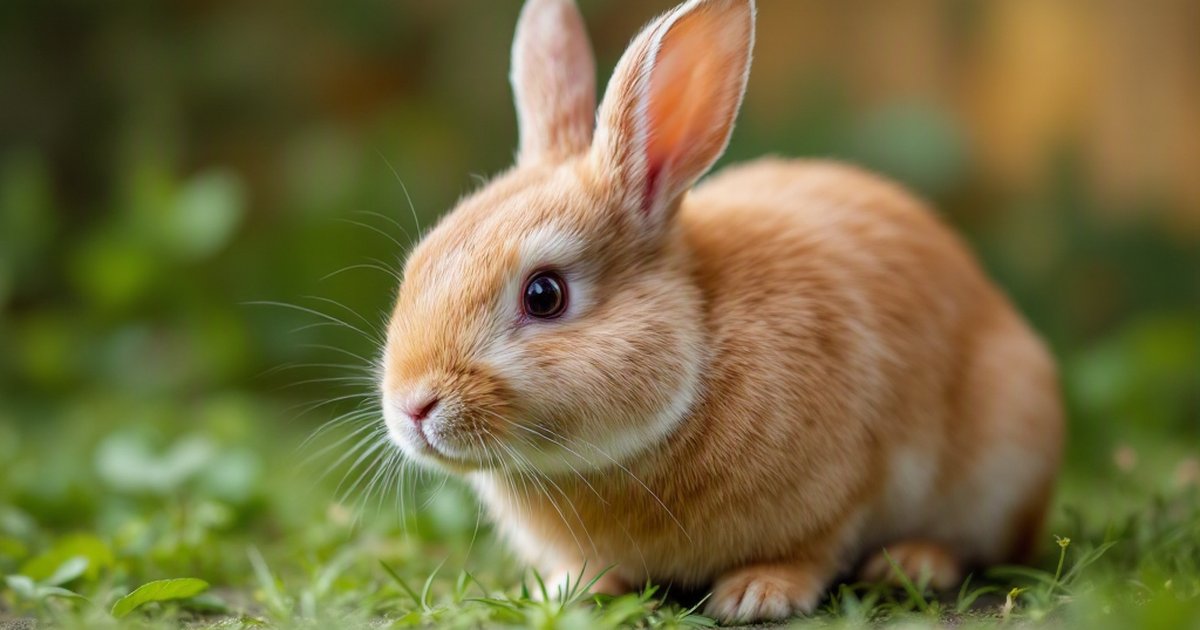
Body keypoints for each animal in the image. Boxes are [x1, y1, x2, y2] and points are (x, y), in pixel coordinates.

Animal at [379, 0, 1064, 623]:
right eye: (419, 262)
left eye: (544, 295)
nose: (412, 406)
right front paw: (566, 590)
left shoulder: (844, 485)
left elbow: (815, 548)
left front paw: (758, 594)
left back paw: (912, 563)